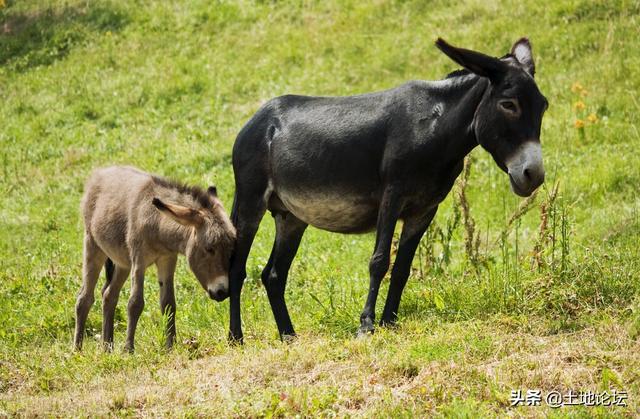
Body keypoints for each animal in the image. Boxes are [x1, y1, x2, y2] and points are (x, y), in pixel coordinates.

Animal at [75, 166, 235, 352]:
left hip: (122, 263)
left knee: (109, 295)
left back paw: (107, 348)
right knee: (84, 299)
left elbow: (168, 303)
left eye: (231, 249)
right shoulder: (139, 260)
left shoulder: (167, 260)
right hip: (93, 246)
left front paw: (170, 346)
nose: (223, 292)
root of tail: (102, 170)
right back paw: (77, 350)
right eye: (209, 249)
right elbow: (135, 303)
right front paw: (129, 350)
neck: (157, 224)